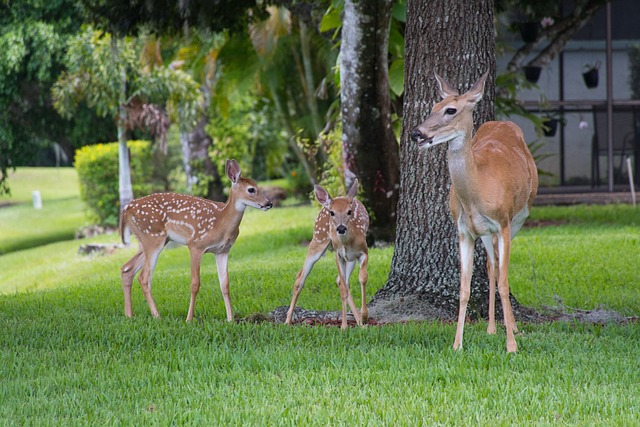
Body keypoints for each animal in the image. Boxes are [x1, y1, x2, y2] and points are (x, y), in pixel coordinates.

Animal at [120, 160, 272, 320]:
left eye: (257, 186)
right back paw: (157, 316)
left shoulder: (222, 251)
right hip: (152, 237)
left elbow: (225, 285)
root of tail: (125, 209)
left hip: (151, 239)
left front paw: (230, 319)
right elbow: (195, 284)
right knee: (144, 277)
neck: (221, 222)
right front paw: (189, 319)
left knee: (127, 268)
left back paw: (129, 315)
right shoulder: (195, 245)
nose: (269, 203)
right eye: (251, 189)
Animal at [284, 179, 370, 330]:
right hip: (318, 239)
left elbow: (362, 278)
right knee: (300, 278)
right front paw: (344, 326)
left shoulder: (363, 251)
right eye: (332, 212)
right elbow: (343, 288)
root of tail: (325, 204)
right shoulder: (338, 254)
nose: (341, 228)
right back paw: (287, 321)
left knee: (343, 281)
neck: (348, 242)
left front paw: (364, 316)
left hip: (349, 258)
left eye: (349, 211)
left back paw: (360, 322)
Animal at [410, 72, 536, 354]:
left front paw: (511, 345)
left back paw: (512, 328)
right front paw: (457, 344)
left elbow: (504, 284)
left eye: (451, 110)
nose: (417, 133)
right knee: (491, 265)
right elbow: (464, 288)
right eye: (432, 107)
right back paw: (491, 328)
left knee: (501, 270)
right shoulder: (464, 231)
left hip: (519, 217)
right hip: (486, 232)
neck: (478, 188)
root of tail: (501, 121)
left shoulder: (503, 222)